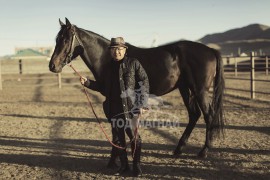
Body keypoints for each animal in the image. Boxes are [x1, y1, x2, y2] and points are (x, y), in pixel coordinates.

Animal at [49, 18, 225, 159]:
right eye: (57, 39)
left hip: (200, 91)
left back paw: (204, 151)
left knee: (208, 115)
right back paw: (178, 149)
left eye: (65, 39)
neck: (109, 58)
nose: (52, 66)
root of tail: (210, 50)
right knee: (194, 115)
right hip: (185, 89)